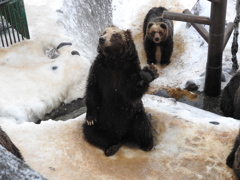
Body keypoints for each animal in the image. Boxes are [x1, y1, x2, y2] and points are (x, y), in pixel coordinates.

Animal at [82, 25, 159, 156]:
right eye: (104, 32)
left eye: (115, 34)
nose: (101, 39)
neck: (114, 60)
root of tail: (122, 136)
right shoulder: (99, 69)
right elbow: (93, 89)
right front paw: (91, 118)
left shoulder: (129, 71)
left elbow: (132, 92)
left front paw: (149, 72)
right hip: (102, 123)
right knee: (92, 133)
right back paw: (111, 147)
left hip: (133, 117)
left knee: (142, 124)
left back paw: (147, 144)